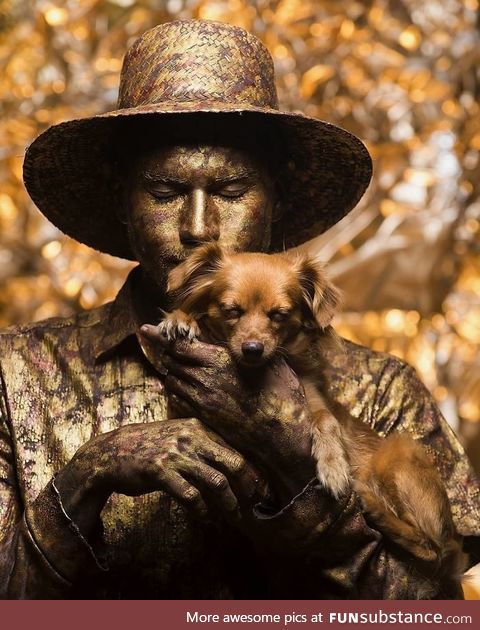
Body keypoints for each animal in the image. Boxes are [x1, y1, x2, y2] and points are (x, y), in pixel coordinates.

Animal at [160, 242, 464, 584]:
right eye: (232, 311)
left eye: (279, 315)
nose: (252, 349)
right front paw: (181, 320)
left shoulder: (313, 402)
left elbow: (326, 420)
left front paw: (332, 466)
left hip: (398, 453)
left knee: (432, 550)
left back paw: (374, 507)